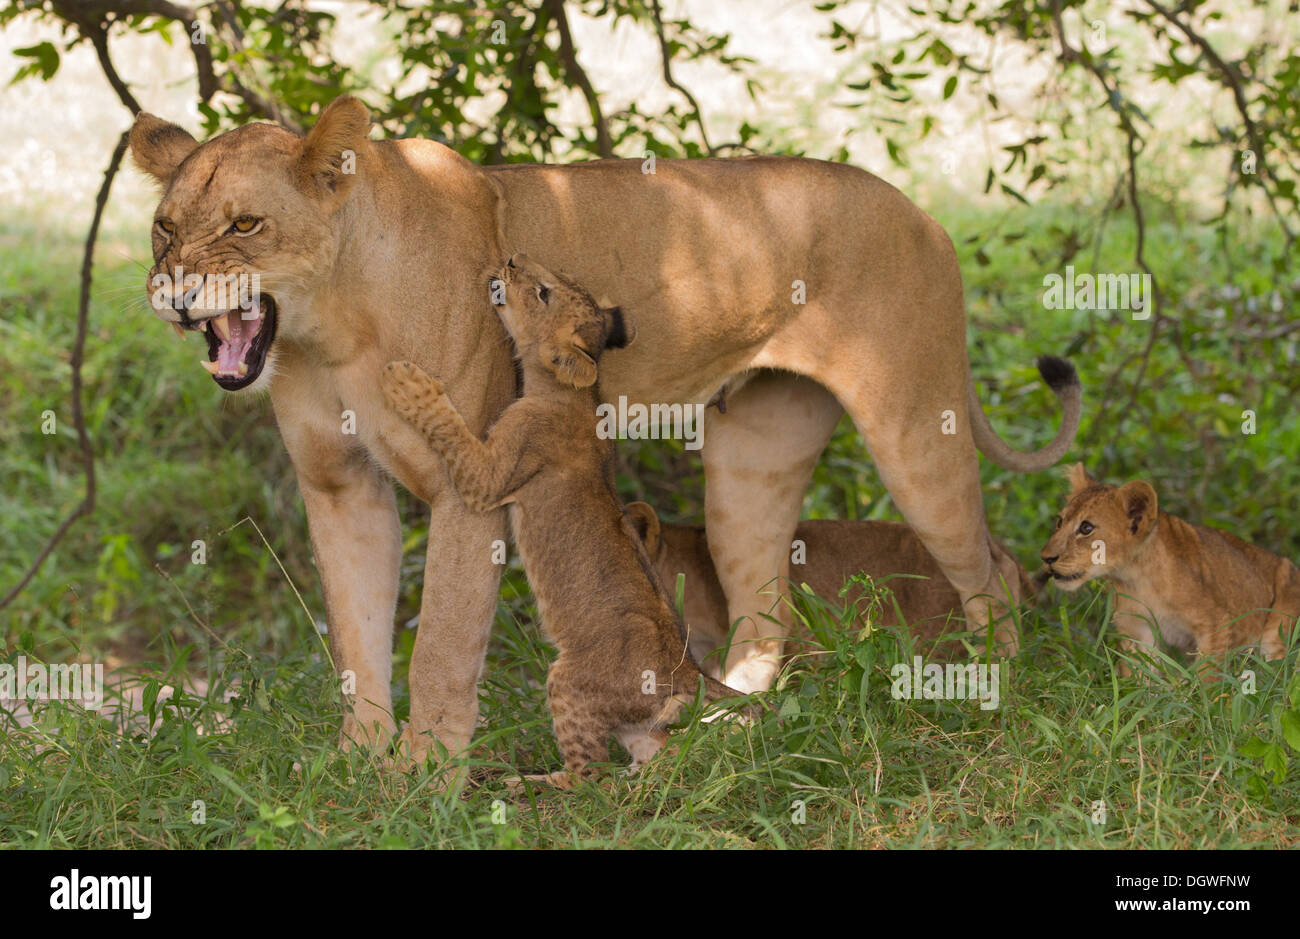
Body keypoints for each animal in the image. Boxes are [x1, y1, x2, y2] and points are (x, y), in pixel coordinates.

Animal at [380, 255, 745, 786]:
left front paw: (408, 383)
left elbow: (449, 426)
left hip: (568, 679)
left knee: (589, 777)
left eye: (544, 293)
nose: (513, 258)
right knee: (653, 750)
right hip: (633, 716)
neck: (575, 394)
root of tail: (687, 668)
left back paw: (525, 783)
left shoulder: (490, 476)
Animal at [1040, 463, 1300, 677]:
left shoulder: (1216, 625)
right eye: (1059, 522)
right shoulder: (1137, 631)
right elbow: (1140, 679)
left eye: (1086, 528)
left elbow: (1207, 679)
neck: (1136, 577)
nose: (1046, 558)